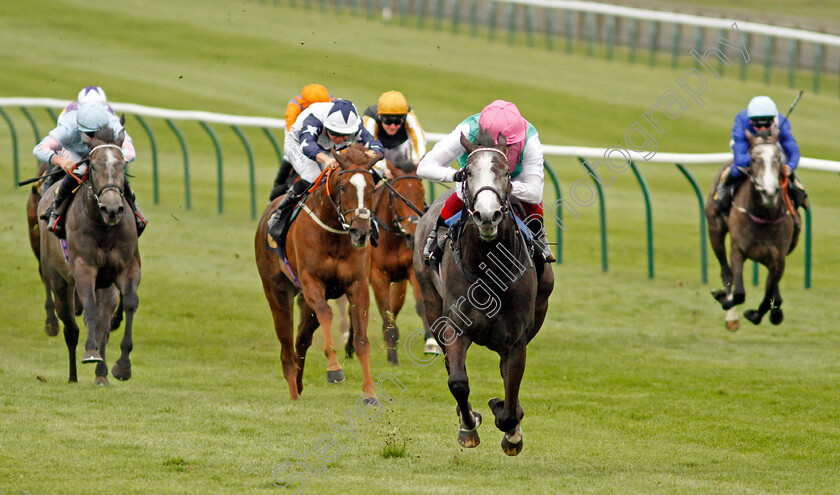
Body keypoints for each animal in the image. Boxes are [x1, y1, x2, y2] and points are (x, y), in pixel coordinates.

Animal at [37, 128, 142, 384]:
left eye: (122, 164)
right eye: (93, 166)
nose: (112, 209)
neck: (104, 229)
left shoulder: (127, 268)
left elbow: (129, 304)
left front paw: (122, 366)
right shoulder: (83, 268)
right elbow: (90, 310)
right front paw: (91, 352)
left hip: (106, 286)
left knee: (102, 326)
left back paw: (101, 374)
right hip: (58, 282)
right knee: (71, 329)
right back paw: (73, 375)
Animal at [253, 144, 378, 404]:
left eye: (372, 187)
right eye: (343, 187)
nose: (361, 232)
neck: (335, 234)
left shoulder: (358, 284)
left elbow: (361, 340)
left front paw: (370, 392)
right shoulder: (311, 281)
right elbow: (326, 313)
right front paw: (334, 369)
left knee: (301, 340)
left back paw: (299, 385)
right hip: (277, 289)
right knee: (286, 346)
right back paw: (293, 392)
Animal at [370, 159, 426, 364]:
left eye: (421, 192)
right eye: (397, 195)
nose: (412, 234)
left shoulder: (409, 271)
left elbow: (420, 305)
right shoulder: (377, 275)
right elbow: (385, 313)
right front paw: (393, 358)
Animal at [412, 130, 556, 456]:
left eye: (505, 173)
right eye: (467, 172)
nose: (487, 214)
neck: (488, 269)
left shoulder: (515, 338)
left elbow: (511, 393)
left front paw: (510, 427)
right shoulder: (455, 328)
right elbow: (458, 382)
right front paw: (469, 425)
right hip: (430, 301)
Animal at [704, 128, 796, 332]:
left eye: (778, 158)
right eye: (753, 159)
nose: (769, 193)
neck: (765, 218)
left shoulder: (779, 259)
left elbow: (770, 295)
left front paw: (758, 315)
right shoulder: (738, 249)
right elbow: (738, 292)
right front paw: (725, 301)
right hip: (715, 231)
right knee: (725, 272)